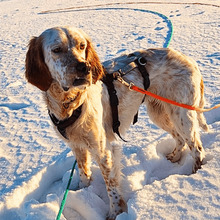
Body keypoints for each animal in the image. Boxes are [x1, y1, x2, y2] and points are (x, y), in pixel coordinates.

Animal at [24, 25, 209, 218]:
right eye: (57, 50)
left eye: (82, 46)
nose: (85, 67)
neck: (70, 104)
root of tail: (190, 60)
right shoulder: (77, 146)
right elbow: (83, 172)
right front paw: (83, 191)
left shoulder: (102, 150)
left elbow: (111, 187)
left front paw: (115, 213)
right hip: (160, 113)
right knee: (180, 139)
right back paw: (174, 157)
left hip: (181, 114)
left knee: (196, 147)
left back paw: (195, 174)